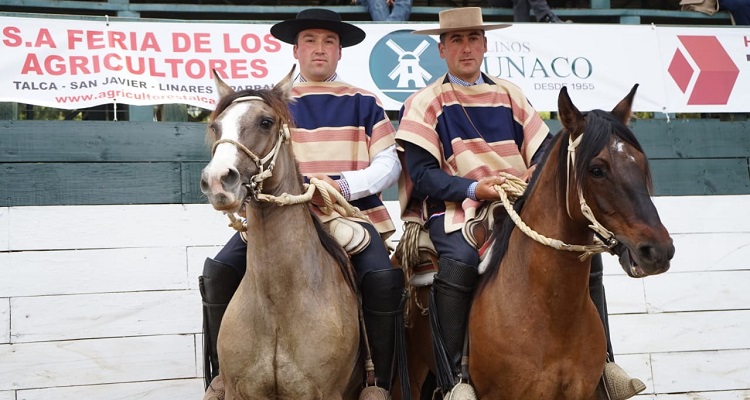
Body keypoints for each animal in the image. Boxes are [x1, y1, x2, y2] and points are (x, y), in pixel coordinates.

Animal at [200, 67, 364, 398]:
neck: (277, 305)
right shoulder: (239, 391)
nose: (217, 181)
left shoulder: (326, 393)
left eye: (266, 122)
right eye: (215, 126)